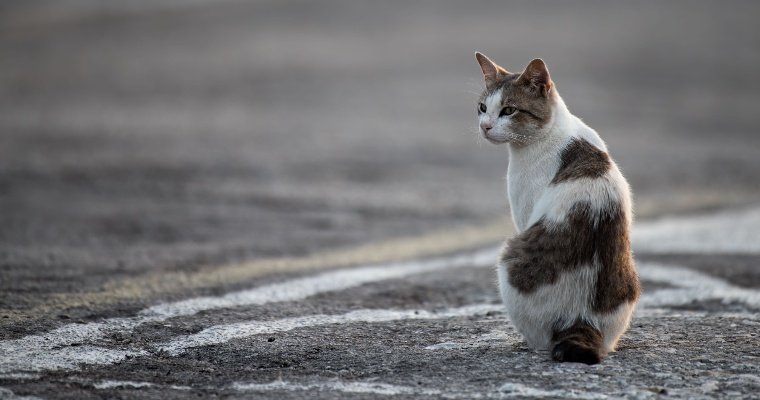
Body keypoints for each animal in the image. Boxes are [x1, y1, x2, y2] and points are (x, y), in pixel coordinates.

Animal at [476, 53, 640, 366]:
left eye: (509, 110)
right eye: (482, 107)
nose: (485, 127)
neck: (554, 131)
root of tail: (581, 318)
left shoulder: (524, 215)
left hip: (509, 260)